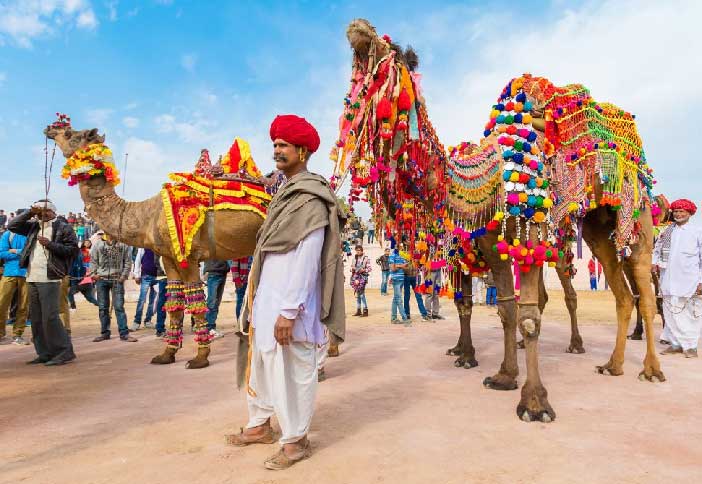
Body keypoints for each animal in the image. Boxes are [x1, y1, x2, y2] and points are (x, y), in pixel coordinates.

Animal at [334, 18, 664, 422]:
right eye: (356, 67)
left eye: (388, 53)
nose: (358, 29)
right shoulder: (490, 247)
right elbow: (504, 308)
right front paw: (503, 375)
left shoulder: (529, 233)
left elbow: (527, 316)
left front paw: (534, 403)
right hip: (596, 227)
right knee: (622, 294)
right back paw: (613, 365)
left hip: (630, 216)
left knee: (639, 292)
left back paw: (644, 367)